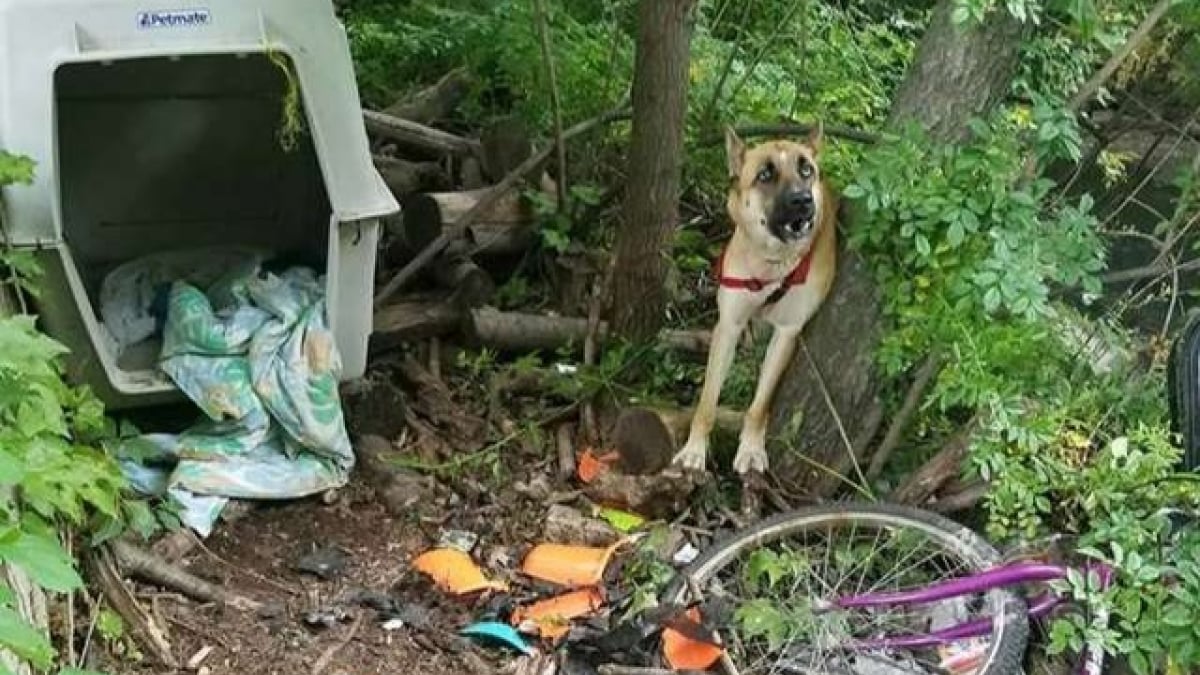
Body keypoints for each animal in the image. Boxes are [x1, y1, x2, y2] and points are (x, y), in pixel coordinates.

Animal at [676, 124, 835, 473]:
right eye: (765, 174)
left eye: (807, 170)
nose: (803, 200)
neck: (771, 263)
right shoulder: (729, 325)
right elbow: (707, 401)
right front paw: (695, 448)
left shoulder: (787, 332)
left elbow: (760, 403)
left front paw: (750, 448)